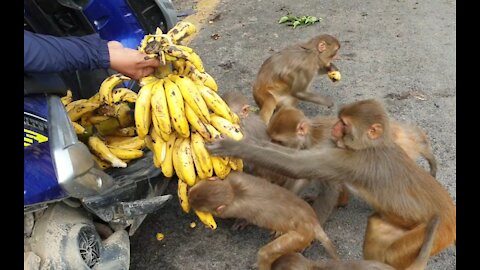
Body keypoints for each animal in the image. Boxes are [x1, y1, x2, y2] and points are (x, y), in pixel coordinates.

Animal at [186, 172, 340, 268]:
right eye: (193, 192)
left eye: (199, 206)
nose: (188, 196)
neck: (233, 193)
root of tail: (312, 221)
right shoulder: (235, 177)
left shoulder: (228, 210)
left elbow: (243, 217)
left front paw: (242, 221)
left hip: (300, 235)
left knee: (266, 253)